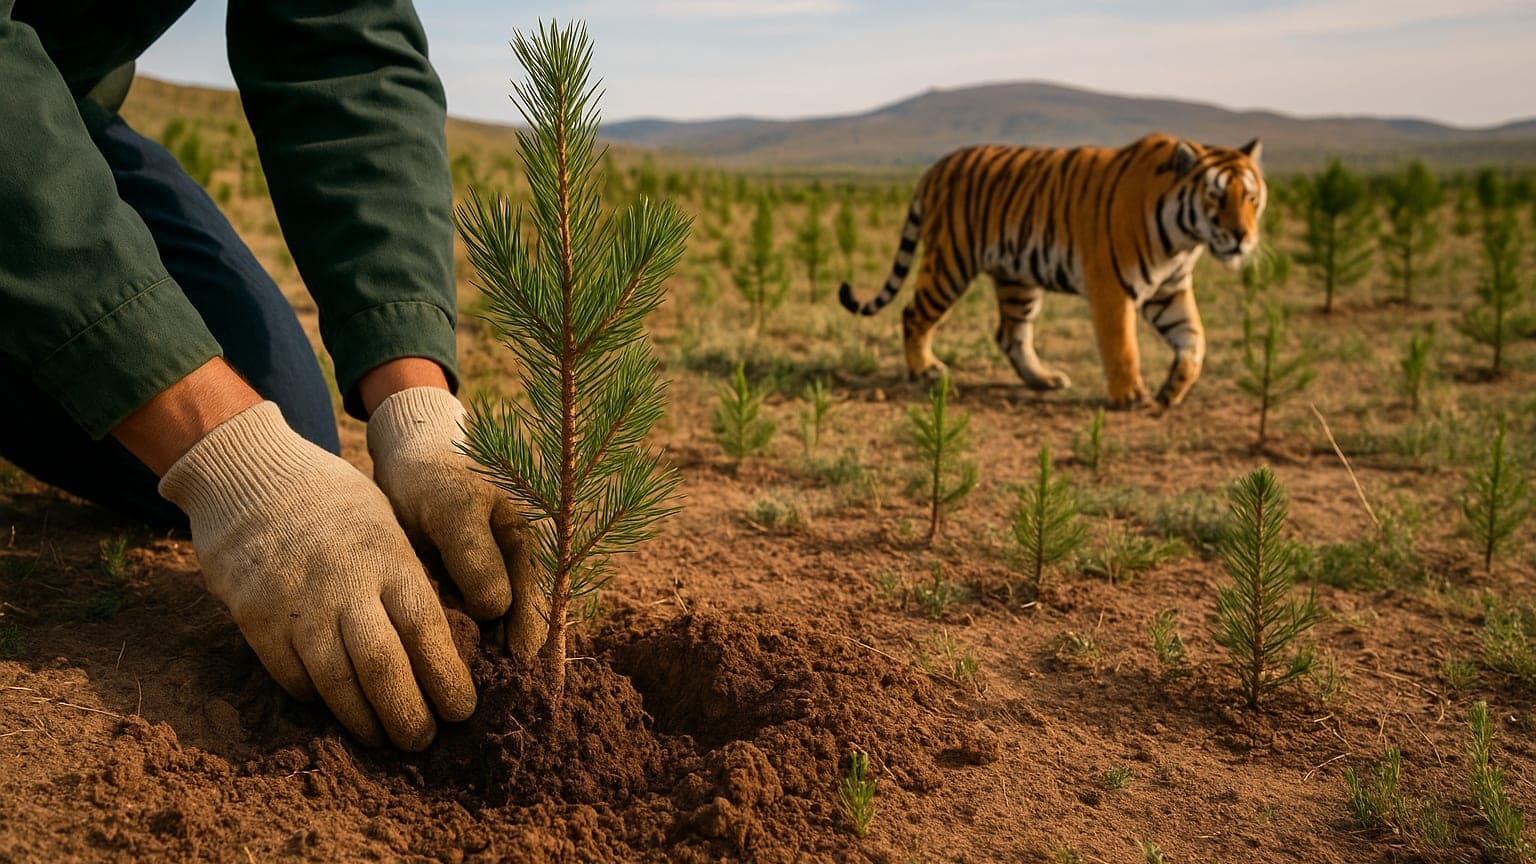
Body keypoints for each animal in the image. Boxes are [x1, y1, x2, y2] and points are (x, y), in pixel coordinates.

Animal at [838, 134, 1266, 408]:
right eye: (1216, 197)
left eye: (1250, 197)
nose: (1241, 237)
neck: (1184, 240)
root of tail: (935, 167)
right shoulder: (1112, 287)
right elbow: (1122, 345)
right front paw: (1131, 396)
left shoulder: (1170, 290)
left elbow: (1195, 340)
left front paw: (1173, 390)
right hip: (950, 262)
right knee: (914, 314)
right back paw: (925, 371)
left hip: (1017, 278)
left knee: (1011, 334)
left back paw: (1042, 380)